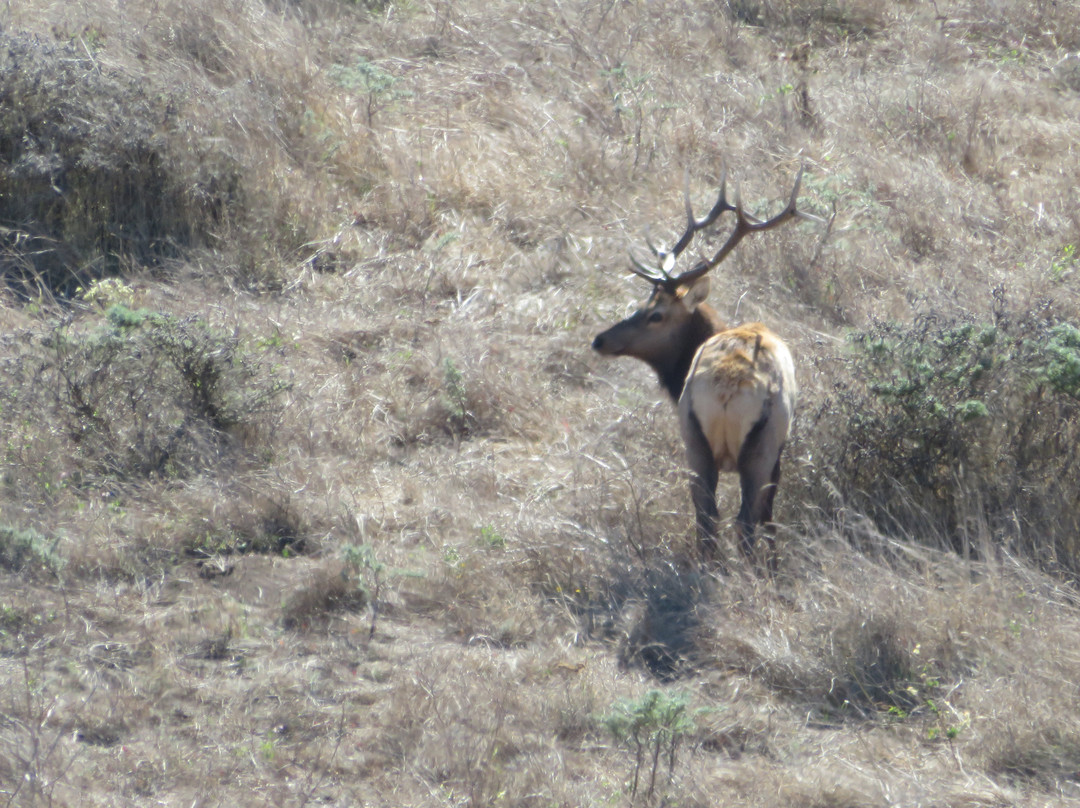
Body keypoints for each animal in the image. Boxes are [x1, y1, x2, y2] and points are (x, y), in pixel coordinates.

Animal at [591, 165, 821, 566]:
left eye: (654, 313)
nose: (600, 340)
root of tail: (727, 390)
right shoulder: (779, 445)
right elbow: (769, 513)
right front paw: (775, 562)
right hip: (761, 443)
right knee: (744, 519)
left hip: (692, 435)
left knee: (707, 516)